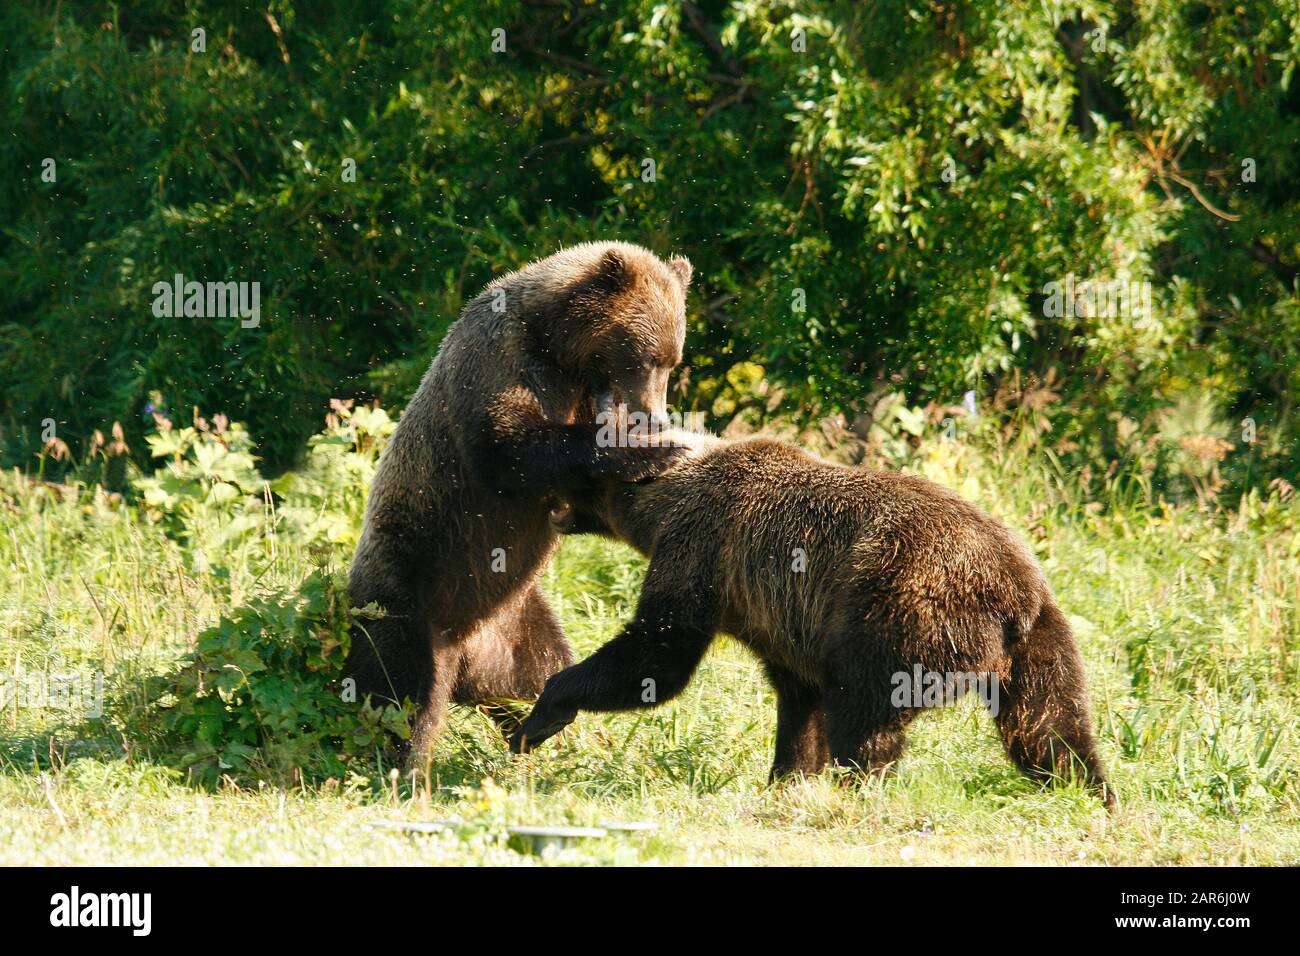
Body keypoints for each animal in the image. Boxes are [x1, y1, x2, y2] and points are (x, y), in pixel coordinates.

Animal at [345, 243, 691, 759]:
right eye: (647, 357)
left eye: (673, 360)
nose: (654, 416)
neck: (556, 345)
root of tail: (464, 647)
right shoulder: (500, 360)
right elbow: (509, 448)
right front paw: (655, 451)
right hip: (405, 588)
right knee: (401, 690)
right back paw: (401, 760)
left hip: (518, 622)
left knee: (542, 667)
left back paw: (547, 724)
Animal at [517, 434, 1118, 806]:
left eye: (575, 466)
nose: (543, 494)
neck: (662, 504)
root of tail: (1009, 593)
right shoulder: (780, 619)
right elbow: (798, 702)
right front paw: (786, 777)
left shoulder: (700, 548)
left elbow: (657, 655)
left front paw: (540, 715)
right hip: (1044, 638)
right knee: (1050, 726)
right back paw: (1092, 793)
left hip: (898, 611)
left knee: (865, 711)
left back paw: (857, 787)